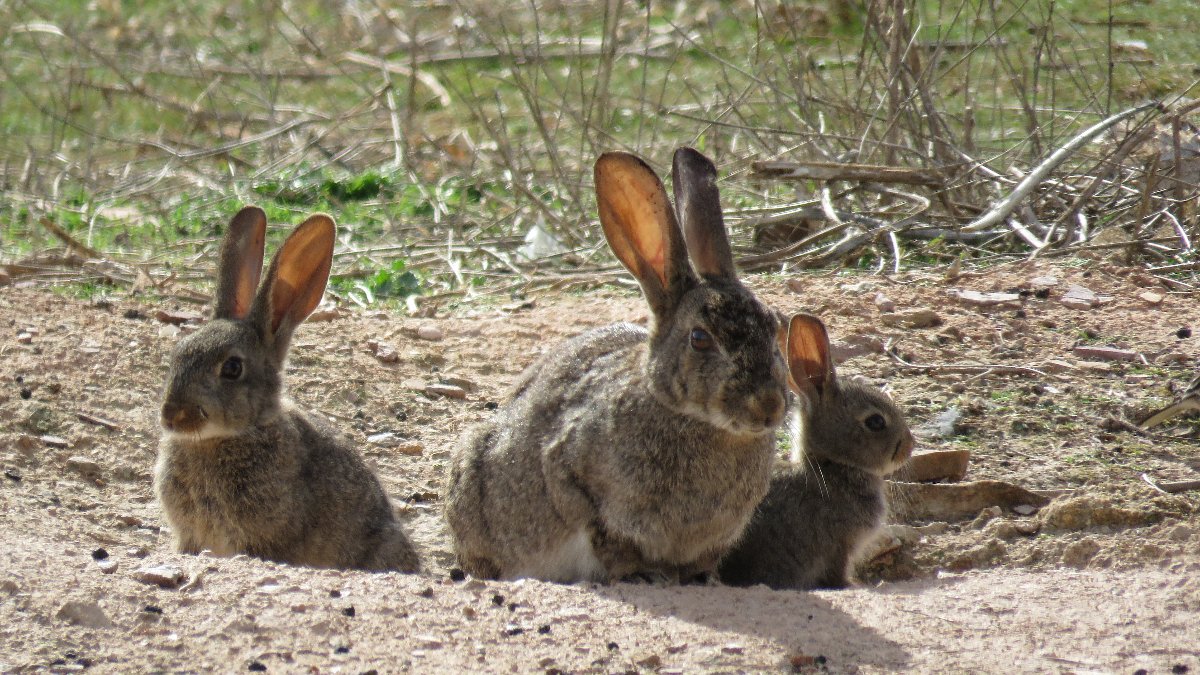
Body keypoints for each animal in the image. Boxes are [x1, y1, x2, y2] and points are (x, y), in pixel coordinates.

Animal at [444, 147, 790, 583]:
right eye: (700, 339)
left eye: (775, 326)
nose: (769, 406)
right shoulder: (572, 477)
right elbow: (605, 536)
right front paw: (638, 574)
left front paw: (701, 579)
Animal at [718, 313, 914, 590]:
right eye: (876, 422)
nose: (909, 446)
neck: (830, 463)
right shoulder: (839, 546)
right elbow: (836, 575)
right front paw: (854, 585)